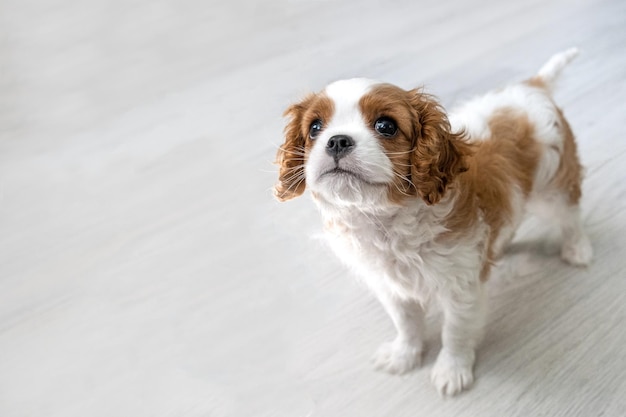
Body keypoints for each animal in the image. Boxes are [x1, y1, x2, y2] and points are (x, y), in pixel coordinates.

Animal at [272, 48, 588, 394]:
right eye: (315, 128)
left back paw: (578, 250)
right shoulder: (392, 289)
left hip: (554, 187)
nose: (337, 140)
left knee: (571, 216)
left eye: (386, 126)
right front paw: (404, 355)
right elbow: (407, 324)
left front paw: (452, 370)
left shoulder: (462, 289)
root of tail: (533, 86)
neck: (385, 220)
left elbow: (455, 332)